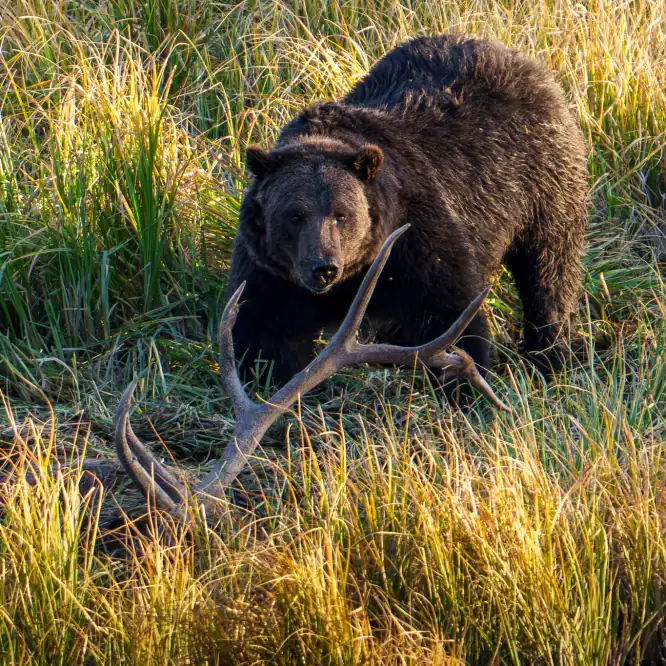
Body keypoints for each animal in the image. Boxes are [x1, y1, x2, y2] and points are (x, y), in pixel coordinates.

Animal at [226, 33, 588, 391]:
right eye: (294, 215)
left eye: (341, 215)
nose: (323, 268)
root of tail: (521, 58)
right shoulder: (271, 272)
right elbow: (265, 337)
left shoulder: (414, 241)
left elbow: (449, 315)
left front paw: (465, 385)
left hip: (543, 187)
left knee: (549, 274)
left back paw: (550, 357)